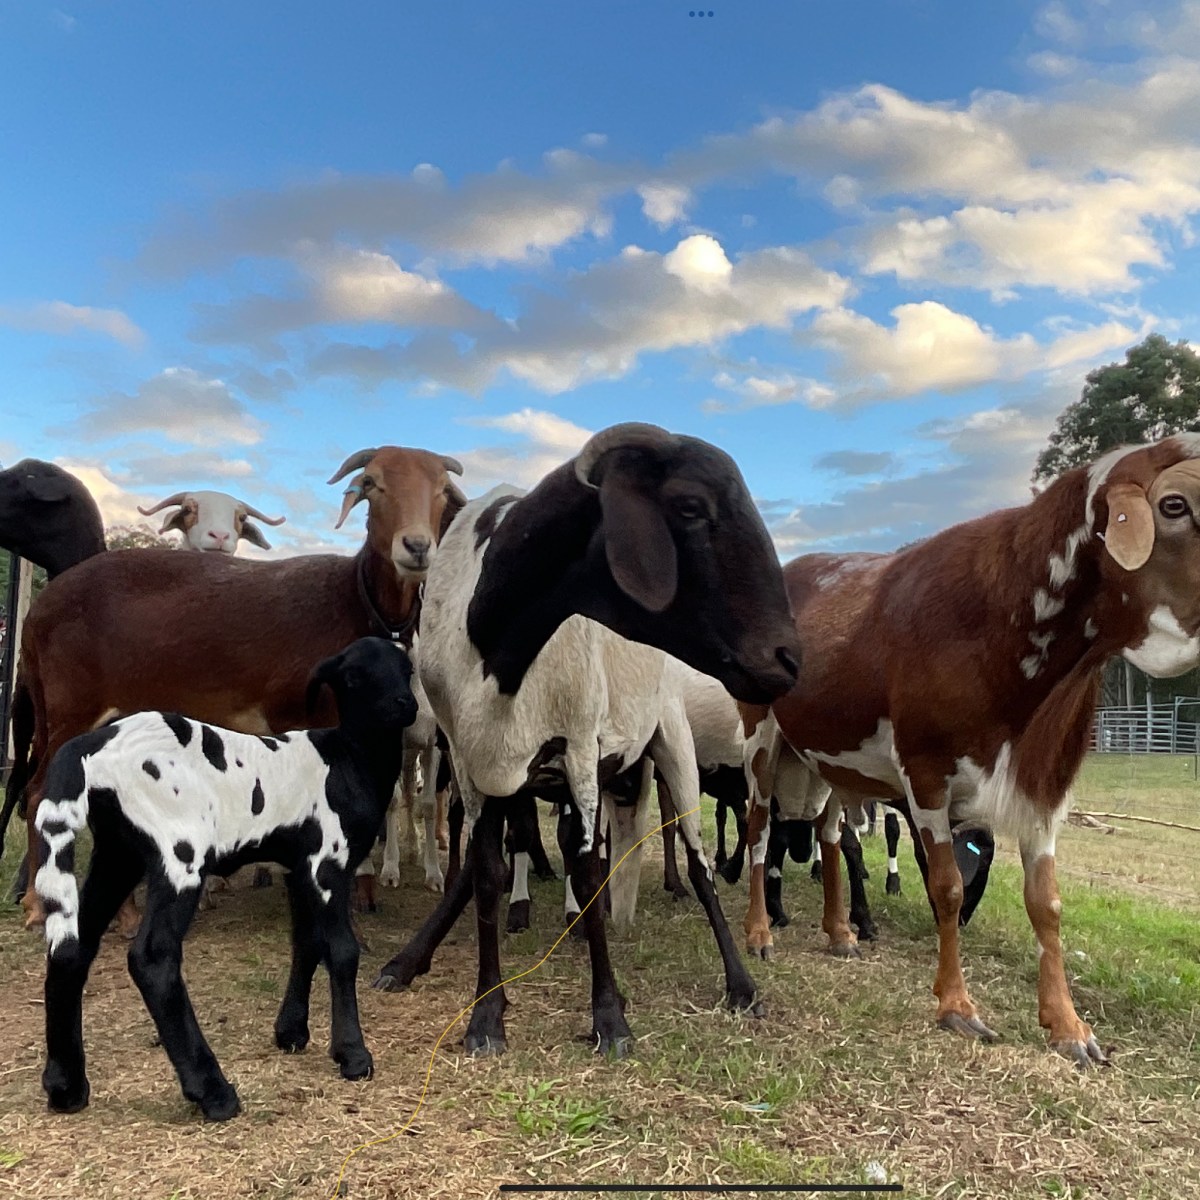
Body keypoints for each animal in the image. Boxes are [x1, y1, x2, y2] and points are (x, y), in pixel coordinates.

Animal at [36, 637, 419, 1121]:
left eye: (407, 668)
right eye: (353, 676)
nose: (404, 705)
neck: (350, 759)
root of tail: (93, 746)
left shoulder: (296, 867)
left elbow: (306, 944)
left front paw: (291, 1032)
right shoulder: (328, 860)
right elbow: (341, 951)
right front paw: (352, 1055)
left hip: (119, 852)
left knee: (72, 947)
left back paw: (66, 1087)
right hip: (179, 850)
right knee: (152, 957)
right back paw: (213, 1092)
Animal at [372, 422, 803, 1057]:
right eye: (690, 506)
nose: (789, 658)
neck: (497, 641)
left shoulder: (576, 748)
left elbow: (584, 869)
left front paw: (609, 1018)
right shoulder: (473, 759)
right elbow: (487, 873)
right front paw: (485, 1017)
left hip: (670, 743)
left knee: (697, 866)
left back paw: (742, 986)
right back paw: (409, 961)